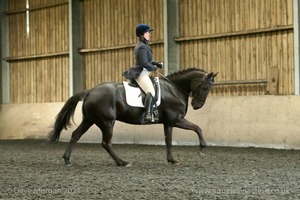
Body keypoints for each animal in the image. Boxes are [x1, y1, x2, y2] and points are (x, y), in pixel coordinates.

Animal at [49, 68, 218, 166]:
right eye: (205, 86)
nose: (197, 105)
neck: (173, 89)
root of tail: (90, 91)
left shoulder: (169, 122)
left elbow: (168, 141)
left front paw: (172, 160)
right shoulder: (177, 119)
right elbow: (198, 128)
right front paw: (202, 150)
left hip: (89, 120)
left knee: (75, 135)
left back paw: (67, 159)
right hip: (107, 122)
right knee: (106, 143)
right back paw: (122, 162)